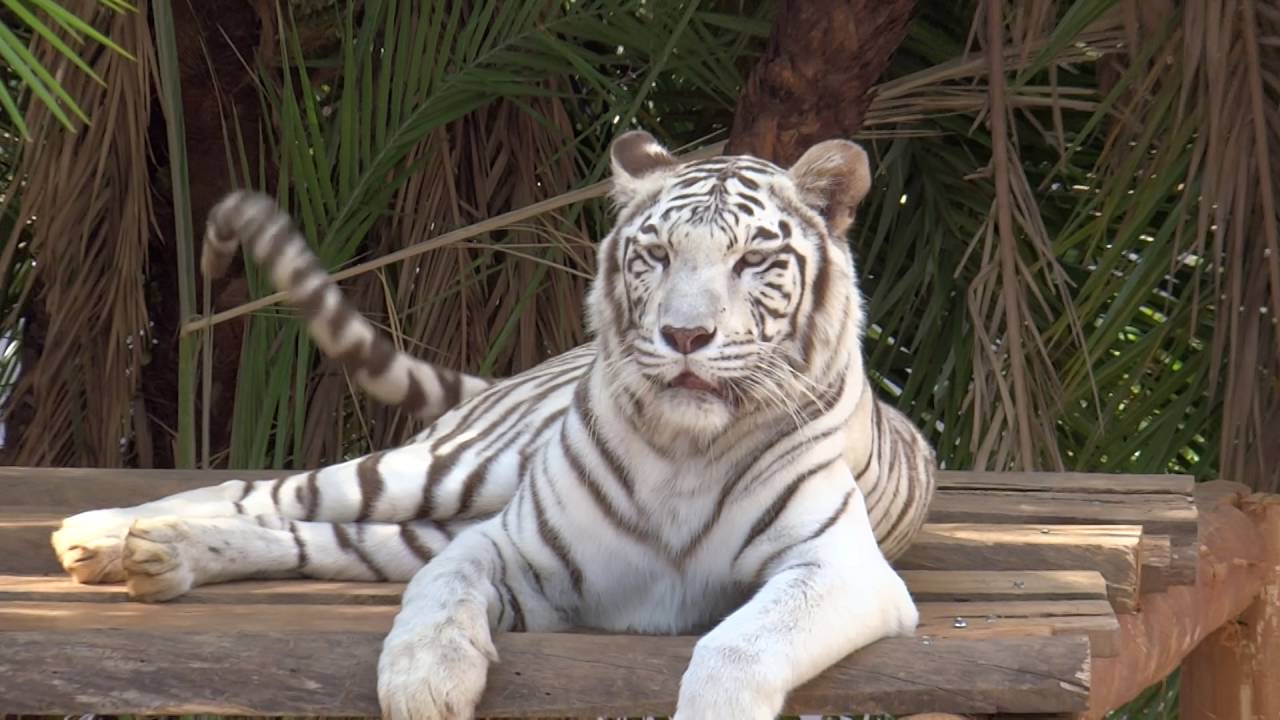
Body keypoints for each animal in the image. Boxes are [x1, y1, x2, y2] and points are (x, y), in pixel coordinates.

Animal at [50, 131, 937, 720]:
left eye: (754, 260)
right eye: (654, 255)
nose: (684, 336)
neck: (684, 450)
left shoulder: (839, 568)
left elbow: (738, 642)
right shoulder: (510, 545)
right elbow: (438, 595)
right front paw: (422, 683)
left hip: (416, 519)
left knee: (311, 538)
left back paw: (162, 556)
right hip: (445, 474)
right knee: (267, 491)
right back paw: (99, 533)